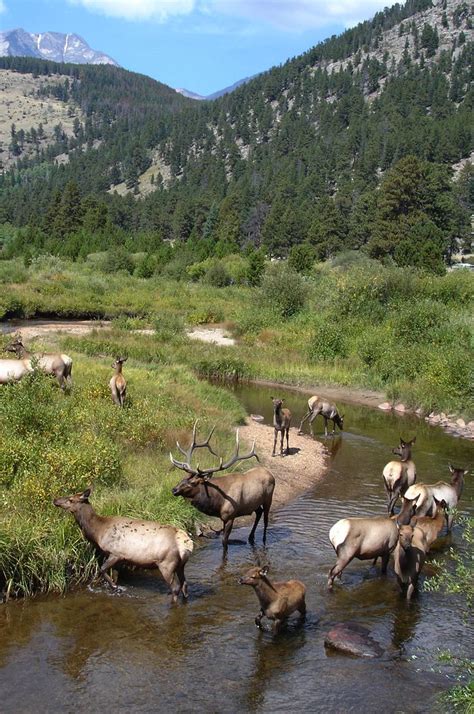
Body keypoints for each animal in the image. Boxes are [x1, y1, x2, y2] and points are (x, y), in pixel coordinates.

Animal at [52, 486, 193, 596]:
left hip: (166, 563)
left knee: (175, 587)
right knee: (185, 585)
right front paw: (115, 586)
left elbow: (102, 569)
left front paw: (114, 587)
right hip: (180, 565)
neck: (97, 532)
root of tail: (186, 543)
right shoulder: (121, 559)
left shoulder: (115, 553)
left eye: (71, 499)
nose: (55, 500)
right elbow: (115, 576)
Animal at [170, 420, 276, 552]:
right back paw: (251, 537)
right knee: (259, 512)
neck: (218, 503)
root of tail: (271, 474)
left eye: (193, 483)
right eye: (182, 479)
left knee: (266, 519)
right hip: (254, 502)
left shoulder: (230, 516)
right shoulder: (223, 518)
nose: (174, 489)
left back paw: (264, 540)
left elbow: (224, 542)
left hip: (268, 498)